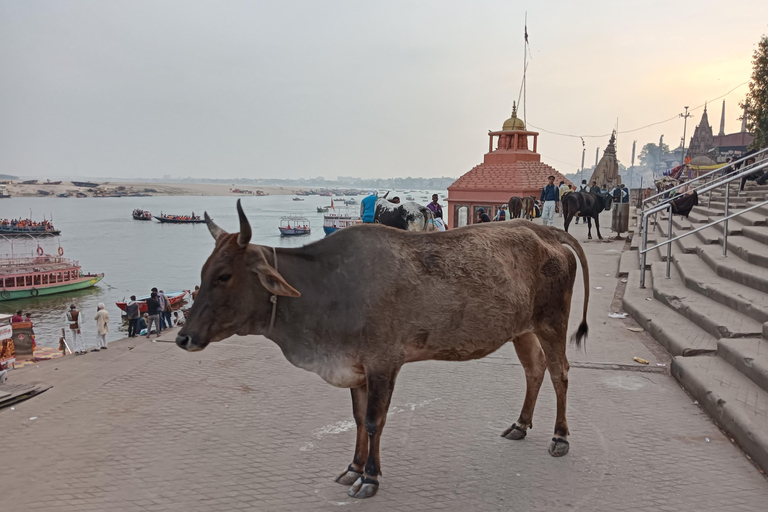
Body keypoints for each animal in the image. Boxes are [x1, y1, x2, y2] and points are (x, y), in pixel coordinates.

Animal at [177, 200, 592, 500]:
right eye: (203, 273)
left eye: (224, 276)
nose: (183, 337)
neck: (327, 285)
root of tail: (543, 229)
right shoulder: (356, 368)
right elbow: (359, 420)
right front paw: (354, 468)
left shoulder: (383, 365)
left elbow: (376, 421)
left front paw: (371, 478)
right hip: (523, 330)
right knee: (534, 370)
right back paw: (520, 424)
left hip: (551, 323)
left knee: (560, 373)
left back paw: (560, 437)